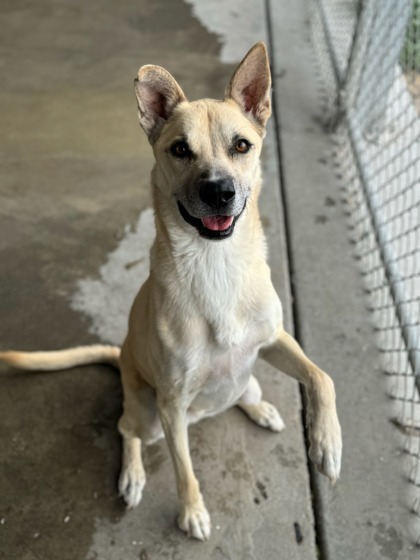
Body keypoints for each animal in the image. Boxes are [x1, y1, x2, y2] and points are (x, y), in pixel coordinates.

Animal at [0, 43, 342, 544]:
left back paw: (260, 408)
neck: (217, 264)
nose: (219, 192)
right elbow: (185, 470)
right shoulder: (173, 403)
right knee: (126, 429)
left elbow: (322, 377)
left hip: (244, 378)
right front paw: (192, 511)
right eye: (180, 149)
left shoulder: (273, 340)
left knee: (243, 393)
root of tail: (121, 353)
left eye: (242, 145)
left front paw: (327, 444)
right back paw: (133, 475)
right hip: (148, 412)